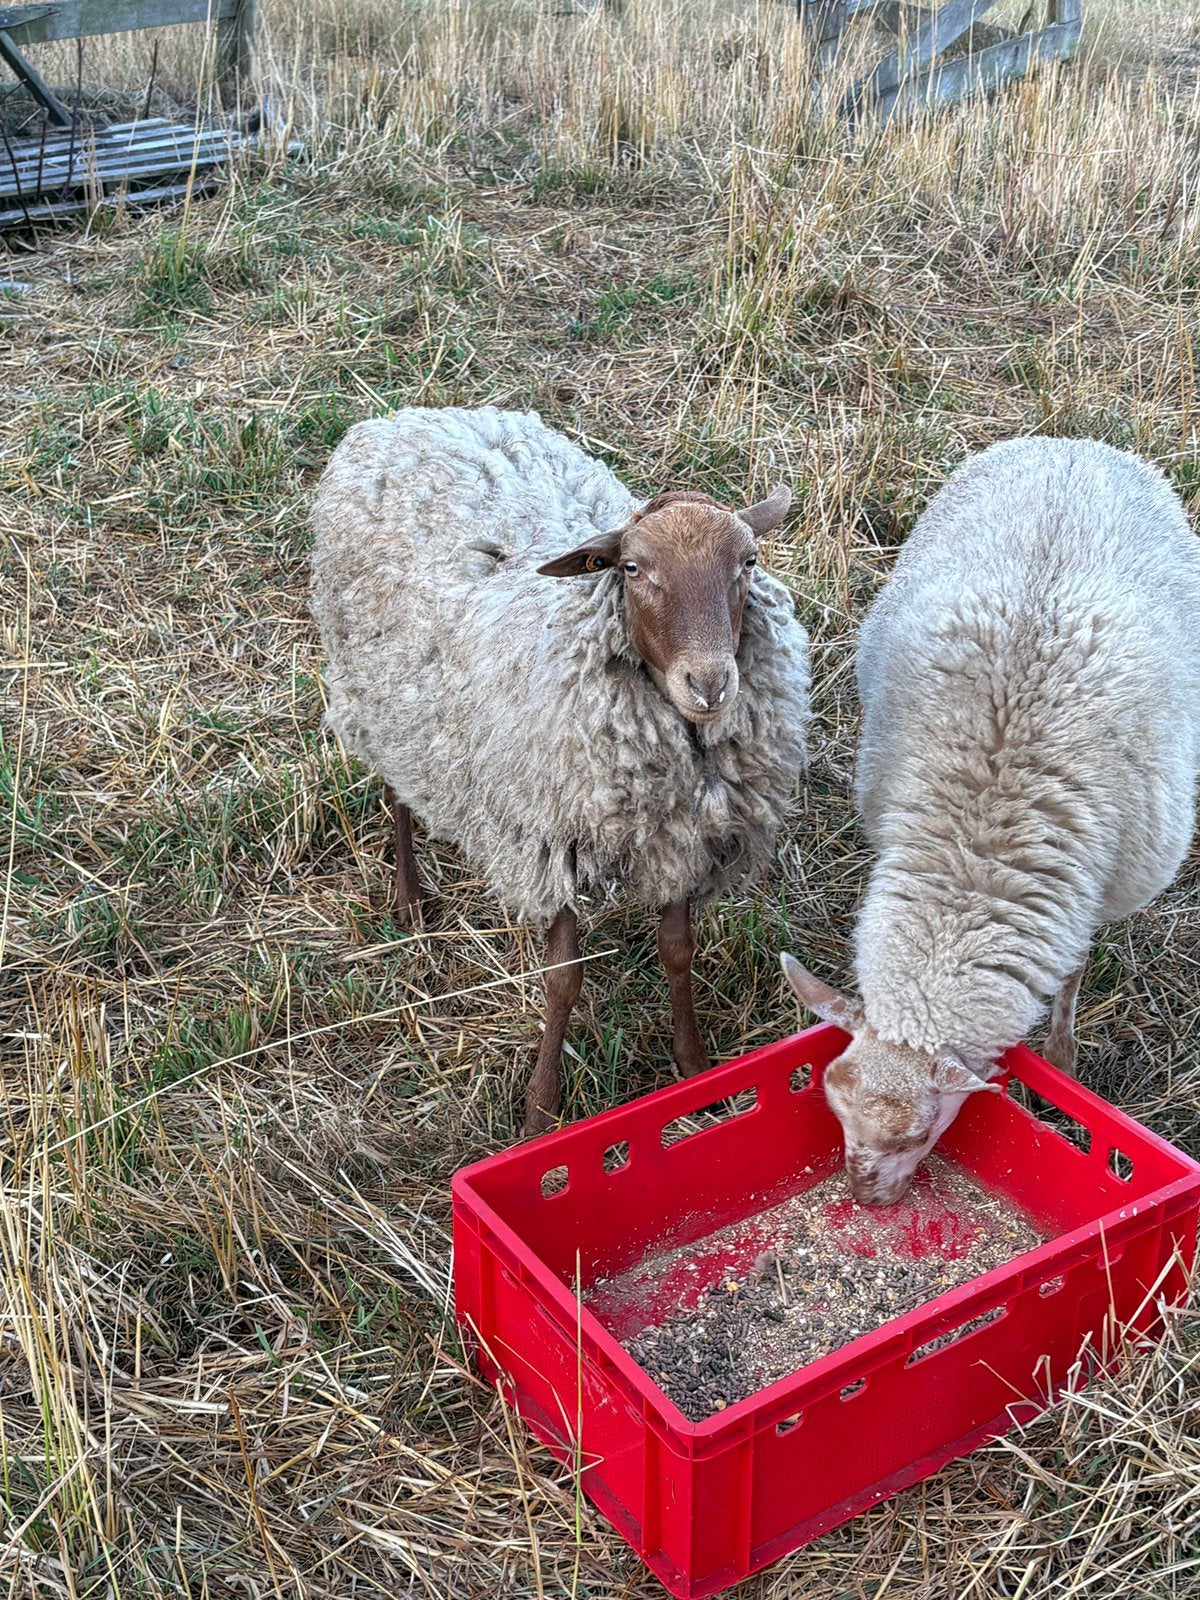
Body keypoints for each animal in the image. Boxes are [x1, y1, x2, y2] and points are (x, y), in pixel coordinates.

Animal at [310, 405, 811, 1133]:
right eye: (631, 568)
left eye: (748, 561)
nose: (711, 683)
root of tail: (401, 417)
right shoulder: (553, 839)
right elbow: (562, 980)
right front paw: (541, 1110)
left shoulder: (684, 839)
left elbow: (677, 949)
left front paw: (696, 1070)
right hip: (383, 696)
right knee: (399, 786)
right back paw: (409, 897)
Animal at [781, 436, 1200, 1205]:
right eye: (831, 1101)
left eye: (917, 1134)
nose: (865, 1199)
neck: (982, 846)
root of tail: (1073, 444)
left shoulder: (1095, 888)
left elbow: (1072, 974)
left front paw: (1060, 1065)